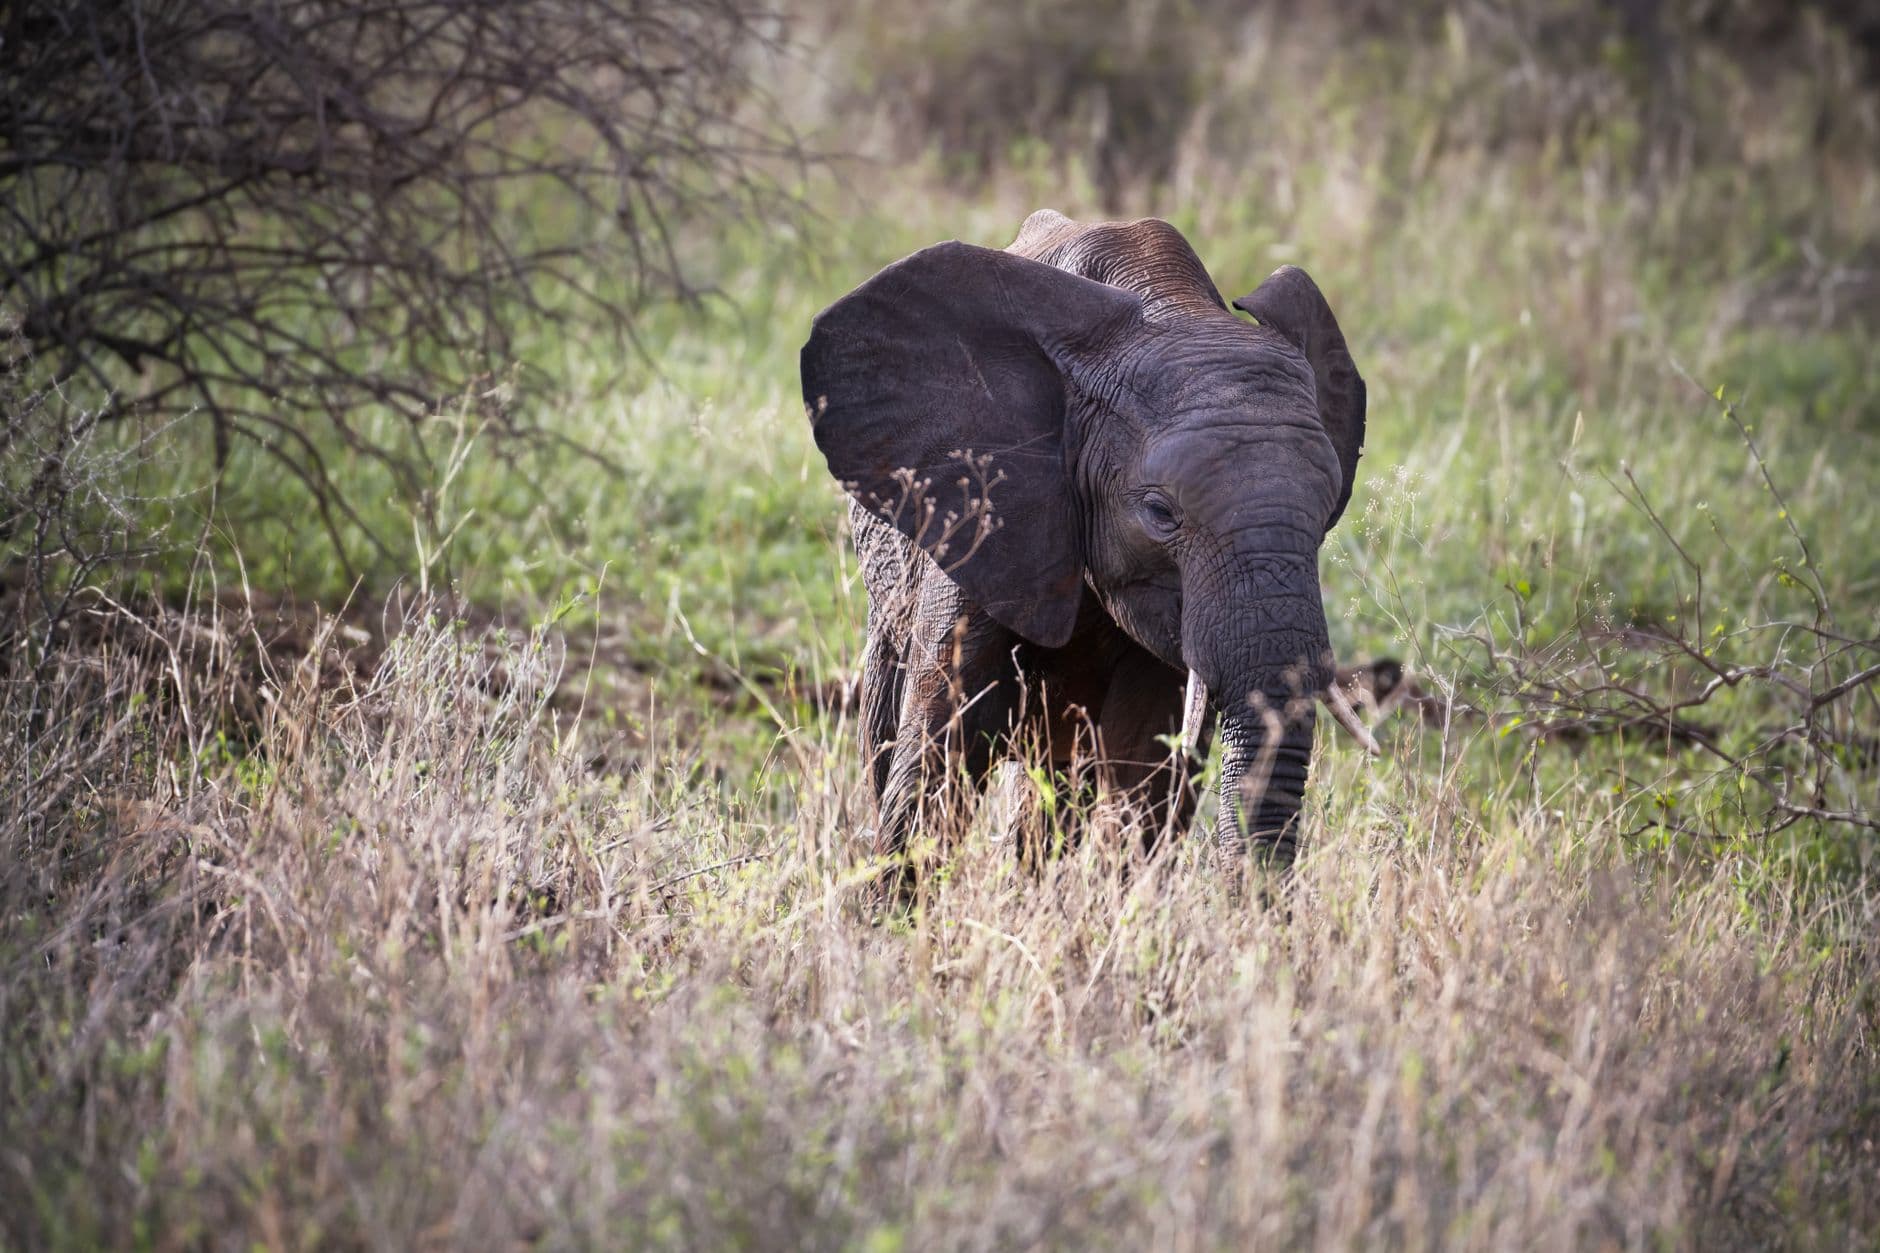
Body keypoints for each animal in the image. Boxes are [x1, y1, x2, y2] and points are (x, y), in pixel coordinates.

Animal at [800, 210, 1376, 883]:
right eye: (1160, 514)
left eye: (1327, 514)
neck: (1169, 308)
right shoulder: (984, 515)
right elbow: (940, 752)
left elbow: (1146, 763)